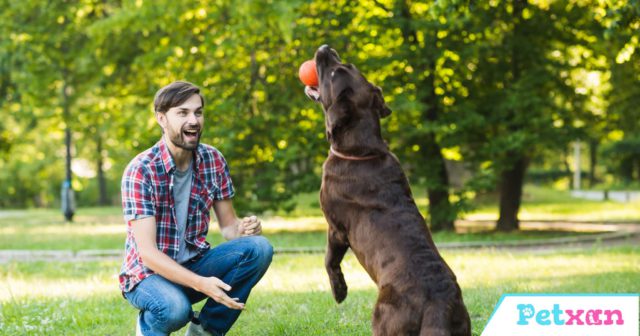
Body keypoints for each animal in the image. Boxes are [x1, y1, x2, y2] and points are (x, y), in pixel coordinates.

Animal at [304, 45, 470, 336]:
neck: (362, 150)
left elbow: (329, 260)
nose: (326, 48)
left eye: (334, 71)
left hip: (384, 318)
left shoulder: (336, 229)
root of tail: (439, 304)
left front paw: (339, 291)